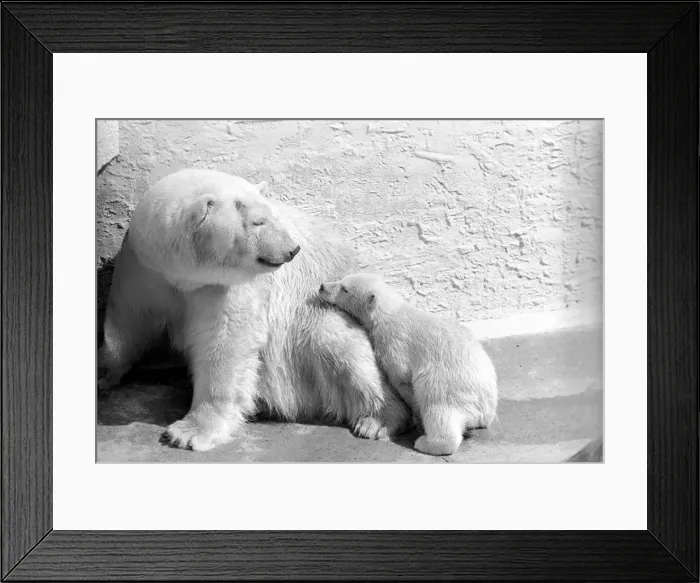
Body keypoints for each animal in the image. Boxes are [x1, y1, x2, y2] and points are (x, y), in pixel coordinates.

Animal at [98, 168, 411, 451]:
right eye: (258, 221)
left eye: (274, 216)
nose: (292, 250)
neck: (182, 275)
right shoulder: (143, 266)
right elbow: (126, 321)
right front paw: (103, 373)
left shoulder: (225, 286)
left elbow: (225, 343)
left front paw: (189, 433)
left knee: (340, 348)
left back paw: (377, 420)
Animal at [318, 272, 498, 456]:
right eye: (342, 280)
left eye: (344, 289)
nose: (322, 286)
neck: (391, 312)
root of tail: (483, 408)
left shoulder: (394, 342)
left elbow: (401, 376)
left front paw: (416, 416)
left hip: (450, 385)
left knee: (436, 404)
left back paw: (425, 442)